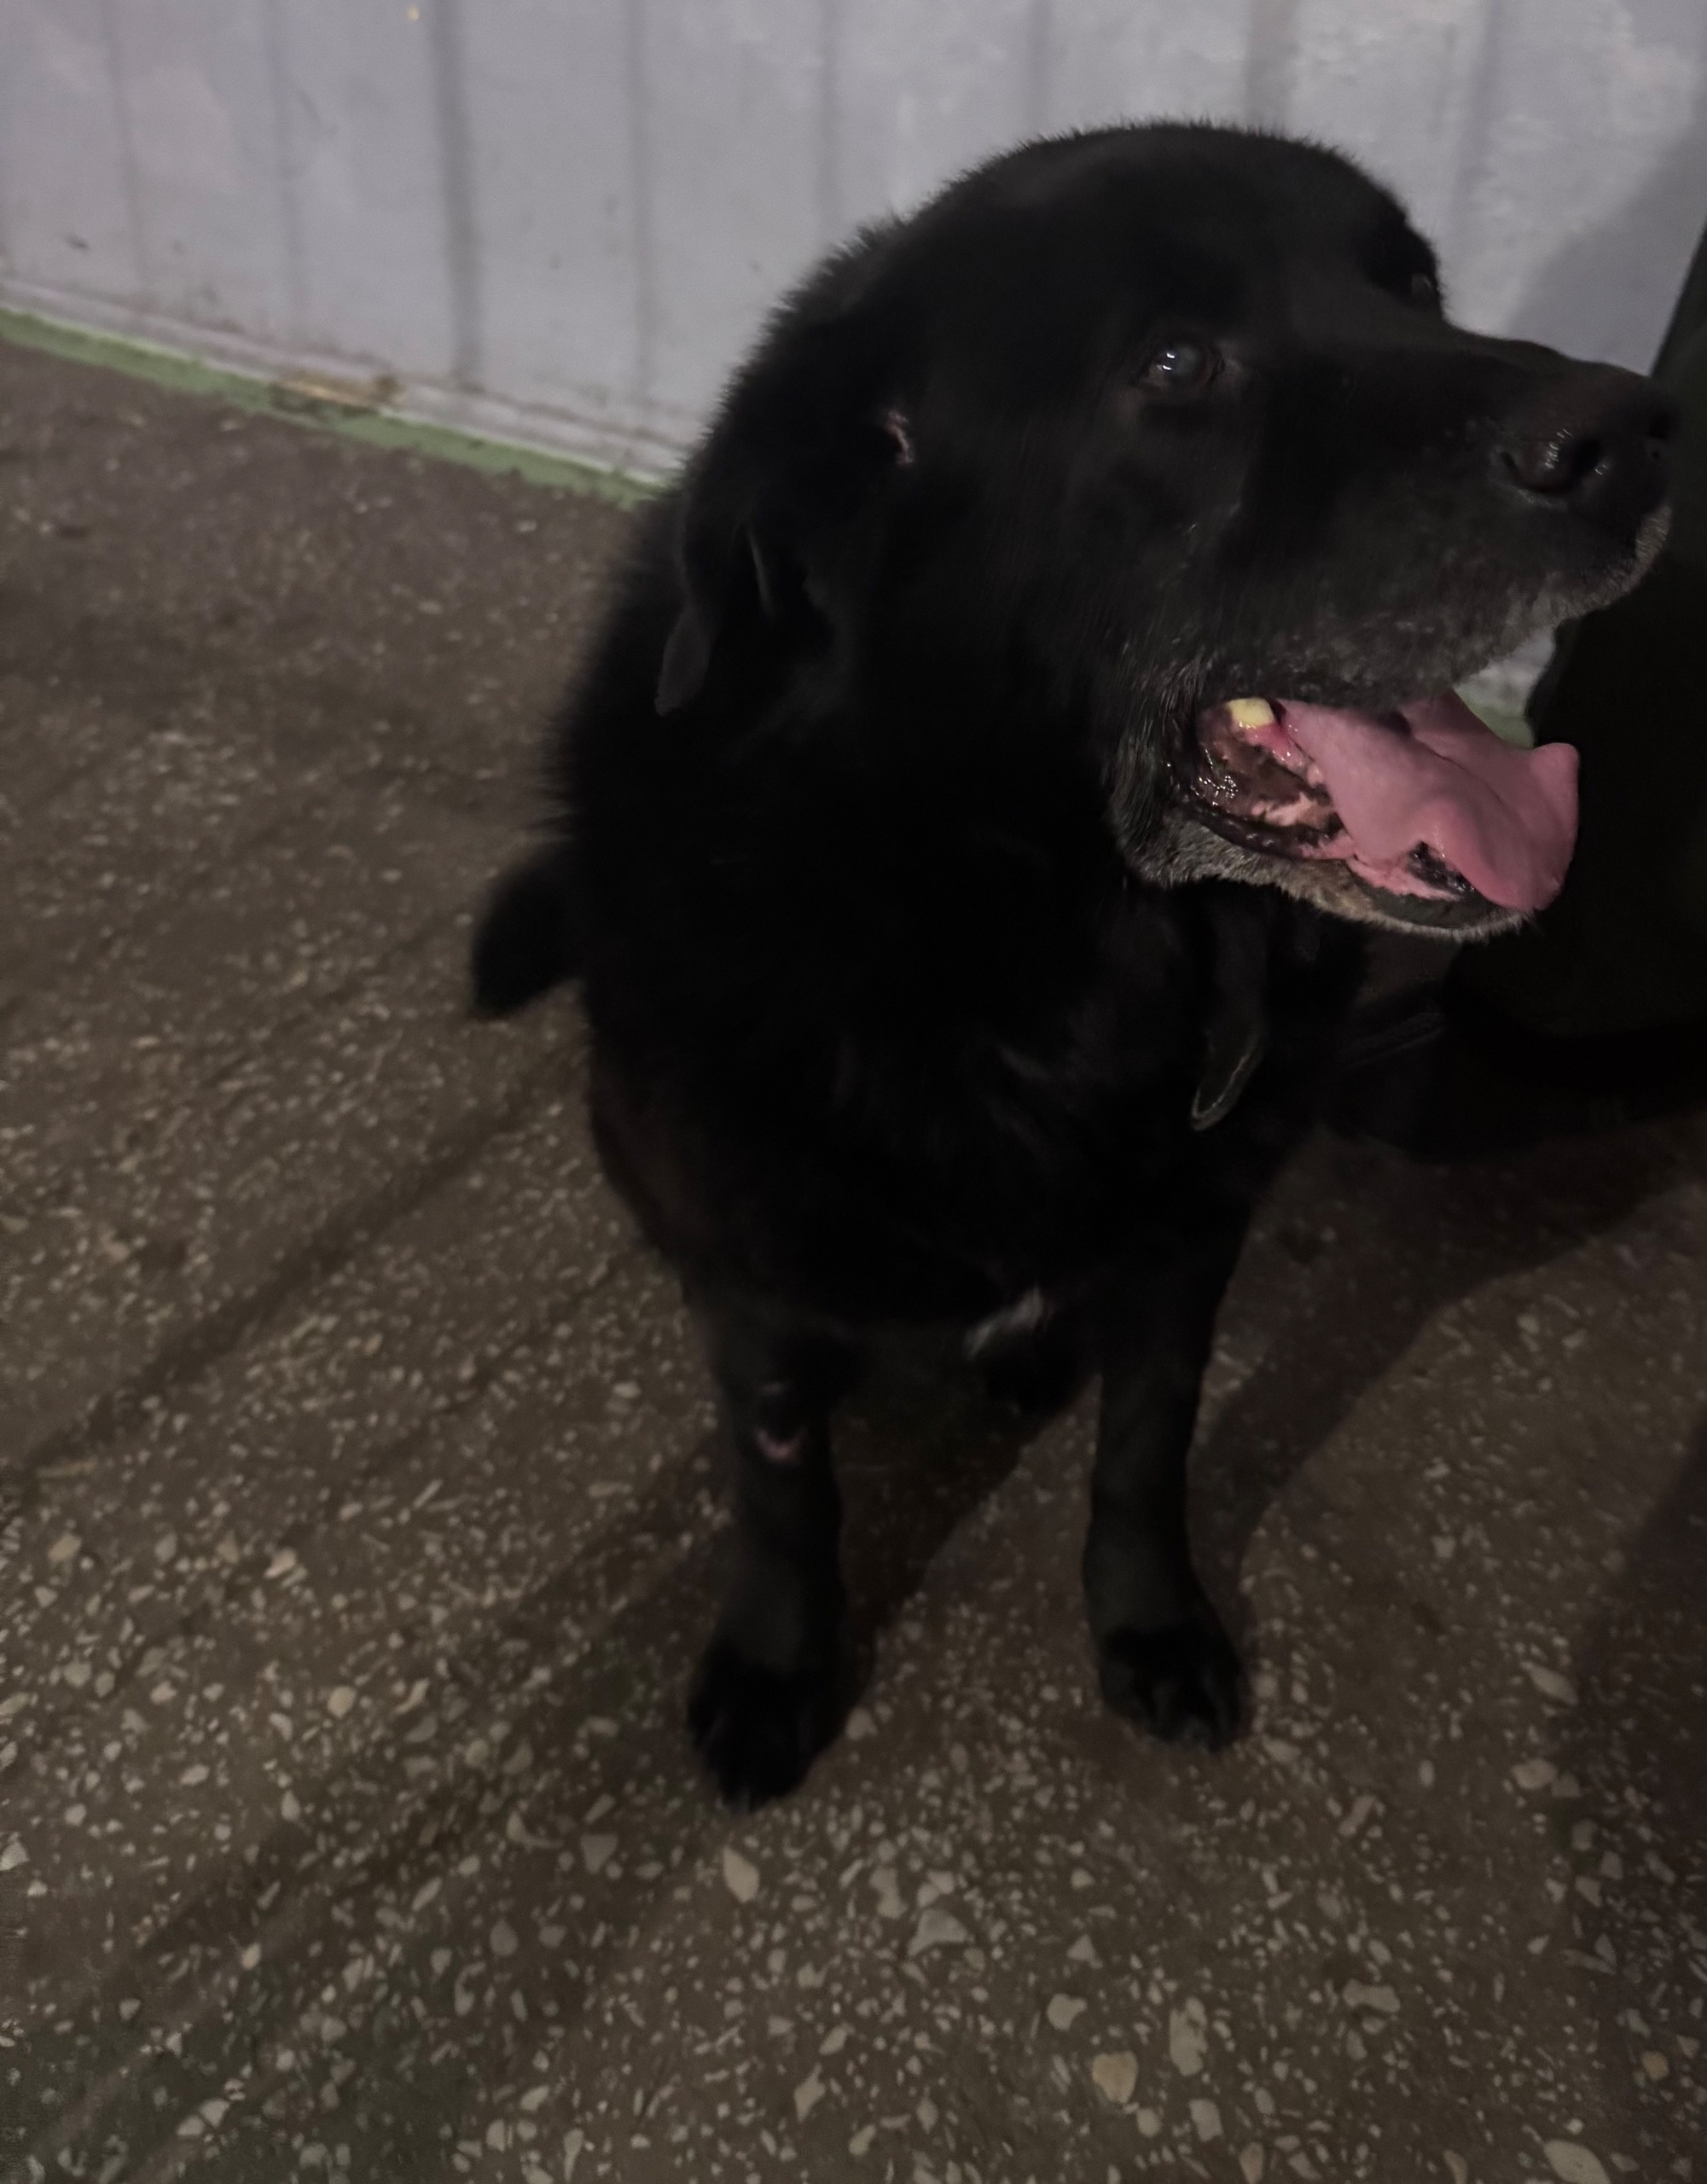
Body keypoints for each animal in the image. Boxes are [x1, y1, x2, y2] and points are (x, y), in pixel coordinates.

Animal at [472, 124, 1672, 1809]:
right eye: (1174, 363)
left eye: (1418, 286)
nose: (1641, 434)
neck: (1035, 945)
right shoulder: (756, 1269)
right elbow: (779, 1486)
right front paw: (776, 1659)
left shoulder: (1191, 1237)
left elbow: (1146, 1448)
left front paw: (1148, 1621)